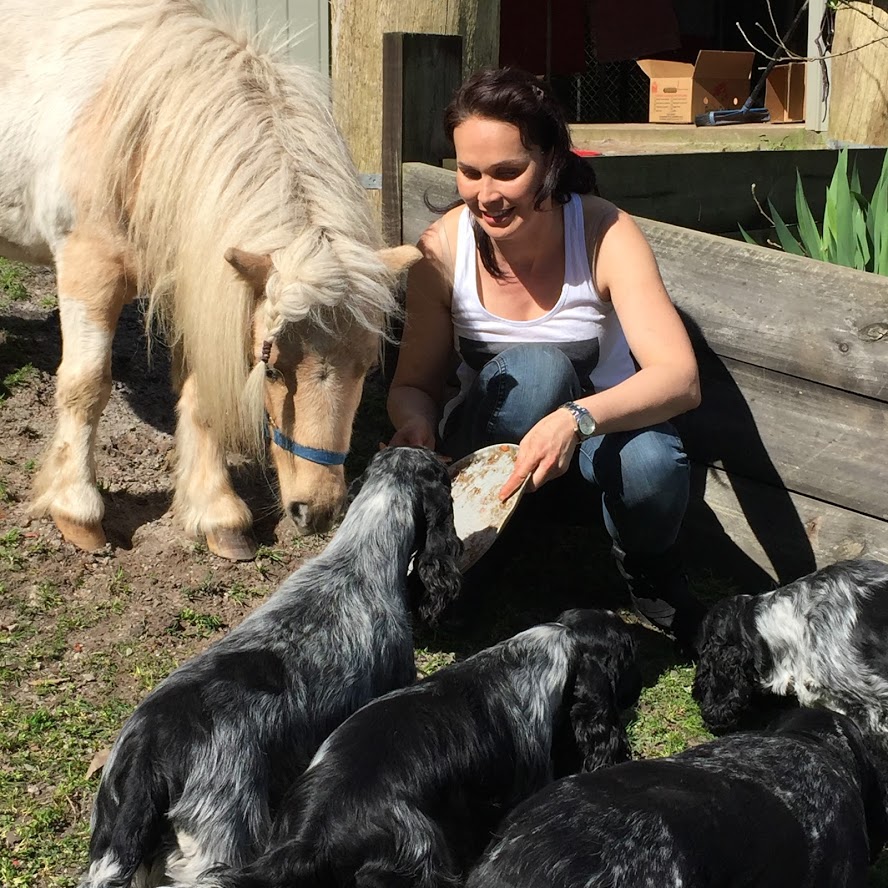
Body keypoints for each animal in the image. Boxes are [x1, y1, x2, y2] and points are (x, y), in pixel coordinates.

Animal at [0, 0, 420, 556]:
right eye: (270, 368)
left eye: (368, 367)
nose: (317, 509)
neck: (144, 133)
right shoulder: (89, 271)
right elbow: (85, 386)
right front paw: (76, 510)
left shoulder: (196, 285)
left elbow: (201, 397)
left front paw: (216, 514)